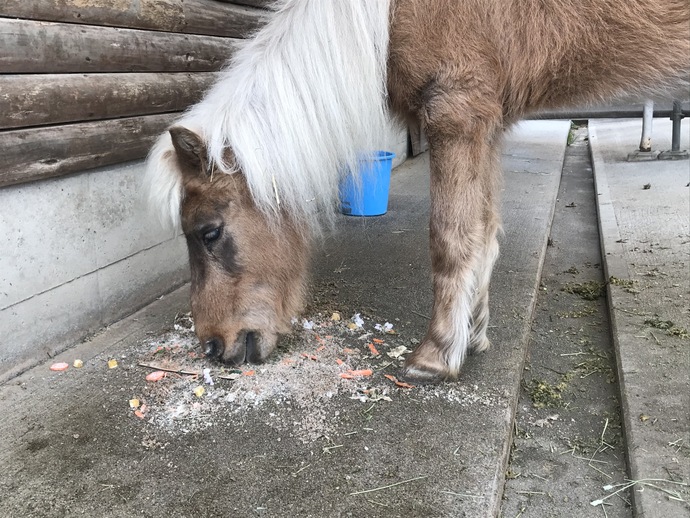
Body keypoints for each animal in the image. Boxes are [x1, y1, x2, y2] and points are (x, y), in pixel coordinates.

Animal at [144, 0, 684, 382]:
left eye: (209, 232)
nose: (214, 346)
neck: (391, 13)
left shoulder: (456, 112)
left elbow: (451, 239)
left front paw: (437, 355)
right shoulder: (486, 125)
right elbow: (484, 234)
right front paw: (474, 334)